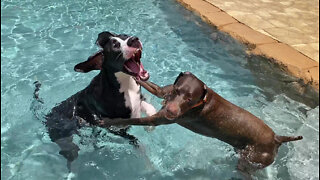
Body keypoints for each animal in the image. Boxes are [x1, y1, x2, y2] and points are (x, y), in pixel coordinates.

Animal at [43, 31, 156, 170]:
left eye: (125, 35)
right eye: (115, 45)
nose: (134, 39)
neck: (125, 84)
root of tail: (47, 115)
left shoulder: (135, 103)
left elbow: (147, 106)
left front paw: (150, 122)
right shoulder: (116, 126)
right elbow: (136, 142)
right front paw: (148, 161)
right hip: (63, 138)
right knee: (70, 153)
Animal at [99, 71, 302, 174]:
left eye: (190, 99)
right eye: (177, 91)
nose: (171, 111)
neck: (203, 99)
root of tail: (277, 138)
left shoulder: (158, 119)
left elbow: (134, 119)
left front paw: (107, 121)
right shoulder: (164, 92)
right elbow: (150, 85)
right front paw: (132, 75)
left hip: (252, 161)